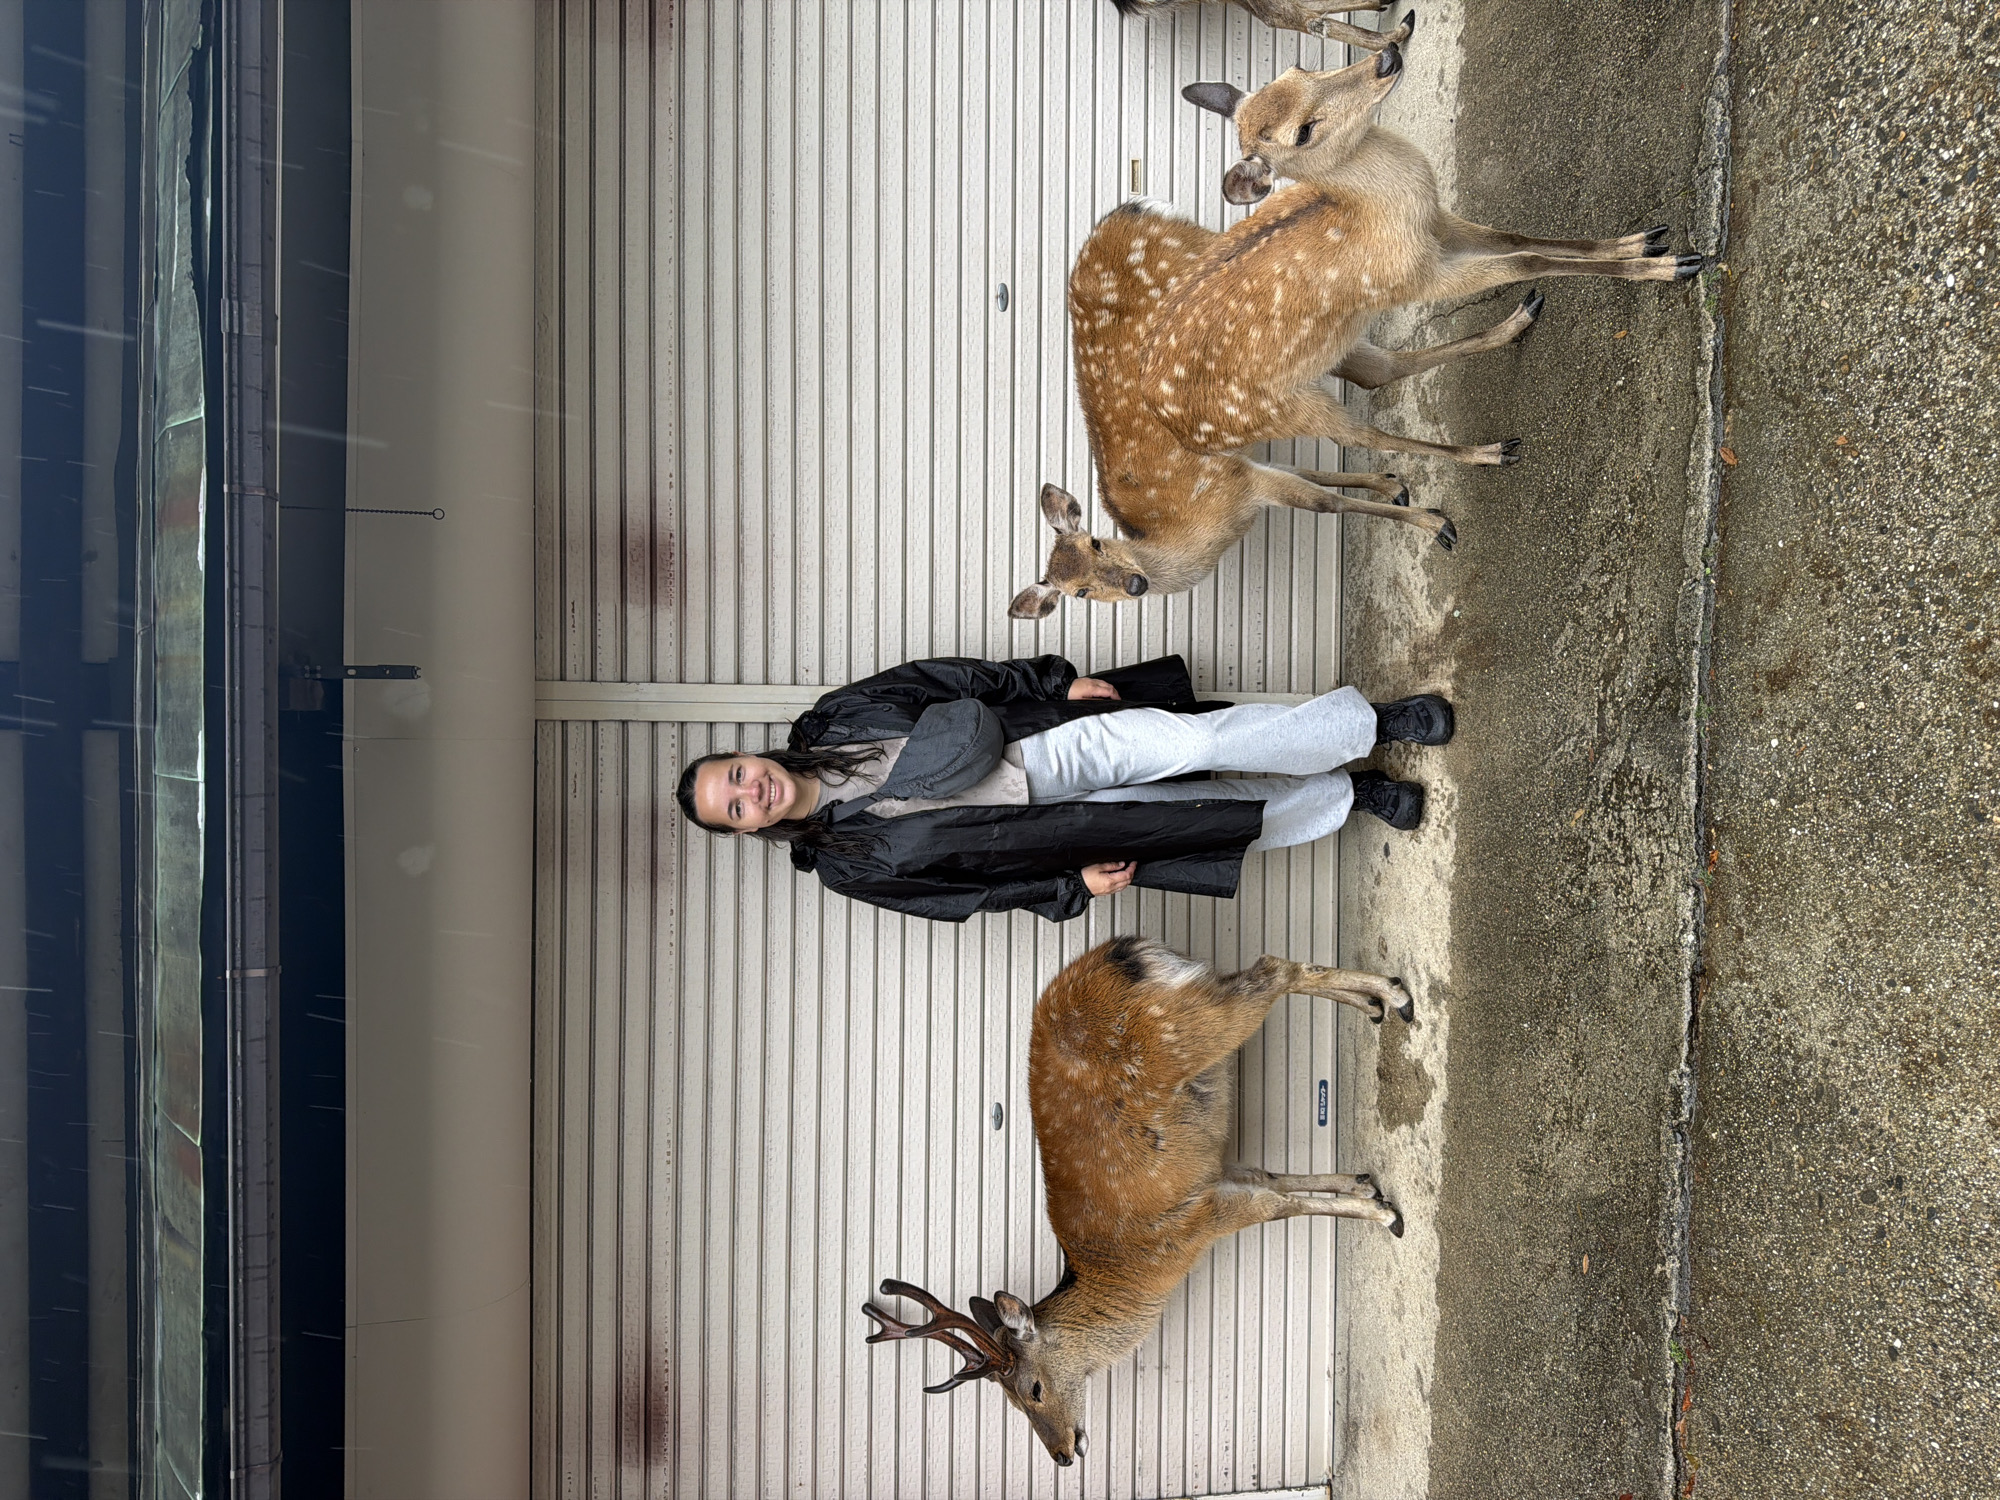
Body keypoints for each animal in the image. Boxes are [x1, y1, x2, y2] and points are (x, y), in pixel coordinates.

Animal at [862, 935, 1413, 1467]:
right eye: (1012, 1404)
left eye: (1032, 1389)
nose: (1062, 1455)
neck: (1137, 1272)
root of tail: (1116, 955)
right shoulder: (1213, 1178)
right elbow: (1276, 1179)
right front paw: (1366, 1184)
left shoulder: (1194, 1222)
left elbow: (1282, 1206)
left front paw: (1387, 1214)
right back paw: (1376, 1006)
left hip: (1190, 1029)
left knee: (1272, 968)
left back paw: (1398, 997)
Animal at [1010, 192, 1546, 617]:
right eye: (1078, 593)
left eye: (1097, 541)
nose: (1136, 583)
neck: (1202, 531)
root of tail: (1130, 210)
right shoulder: (1240, 471)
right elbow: (1312, 475)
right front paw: (1394, 486)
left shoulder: (1238, 482)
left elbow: (1324, 501)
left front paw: (1437, 520)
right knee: (1377, 371)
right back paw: (1522, 320)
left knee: (1366, 397)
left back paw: (1493, 448)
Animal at [1137, 39, 1705, 470]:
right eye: (1303, 132)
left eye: (1298, 67)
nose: (1386, 57)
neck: (1388, 211)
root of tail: (1178, 432)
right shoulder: (1413, 278)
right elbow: (1527, 261)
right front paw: (1669, 266)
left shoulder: (1439, 225)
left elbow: (1513, 237)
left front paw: (1643, 239)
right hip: (1283, 410)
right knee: (1362, 437)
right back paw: (1490, 453)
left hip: (1339, 344)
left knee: (1380, 370)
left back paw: (1519, 321)